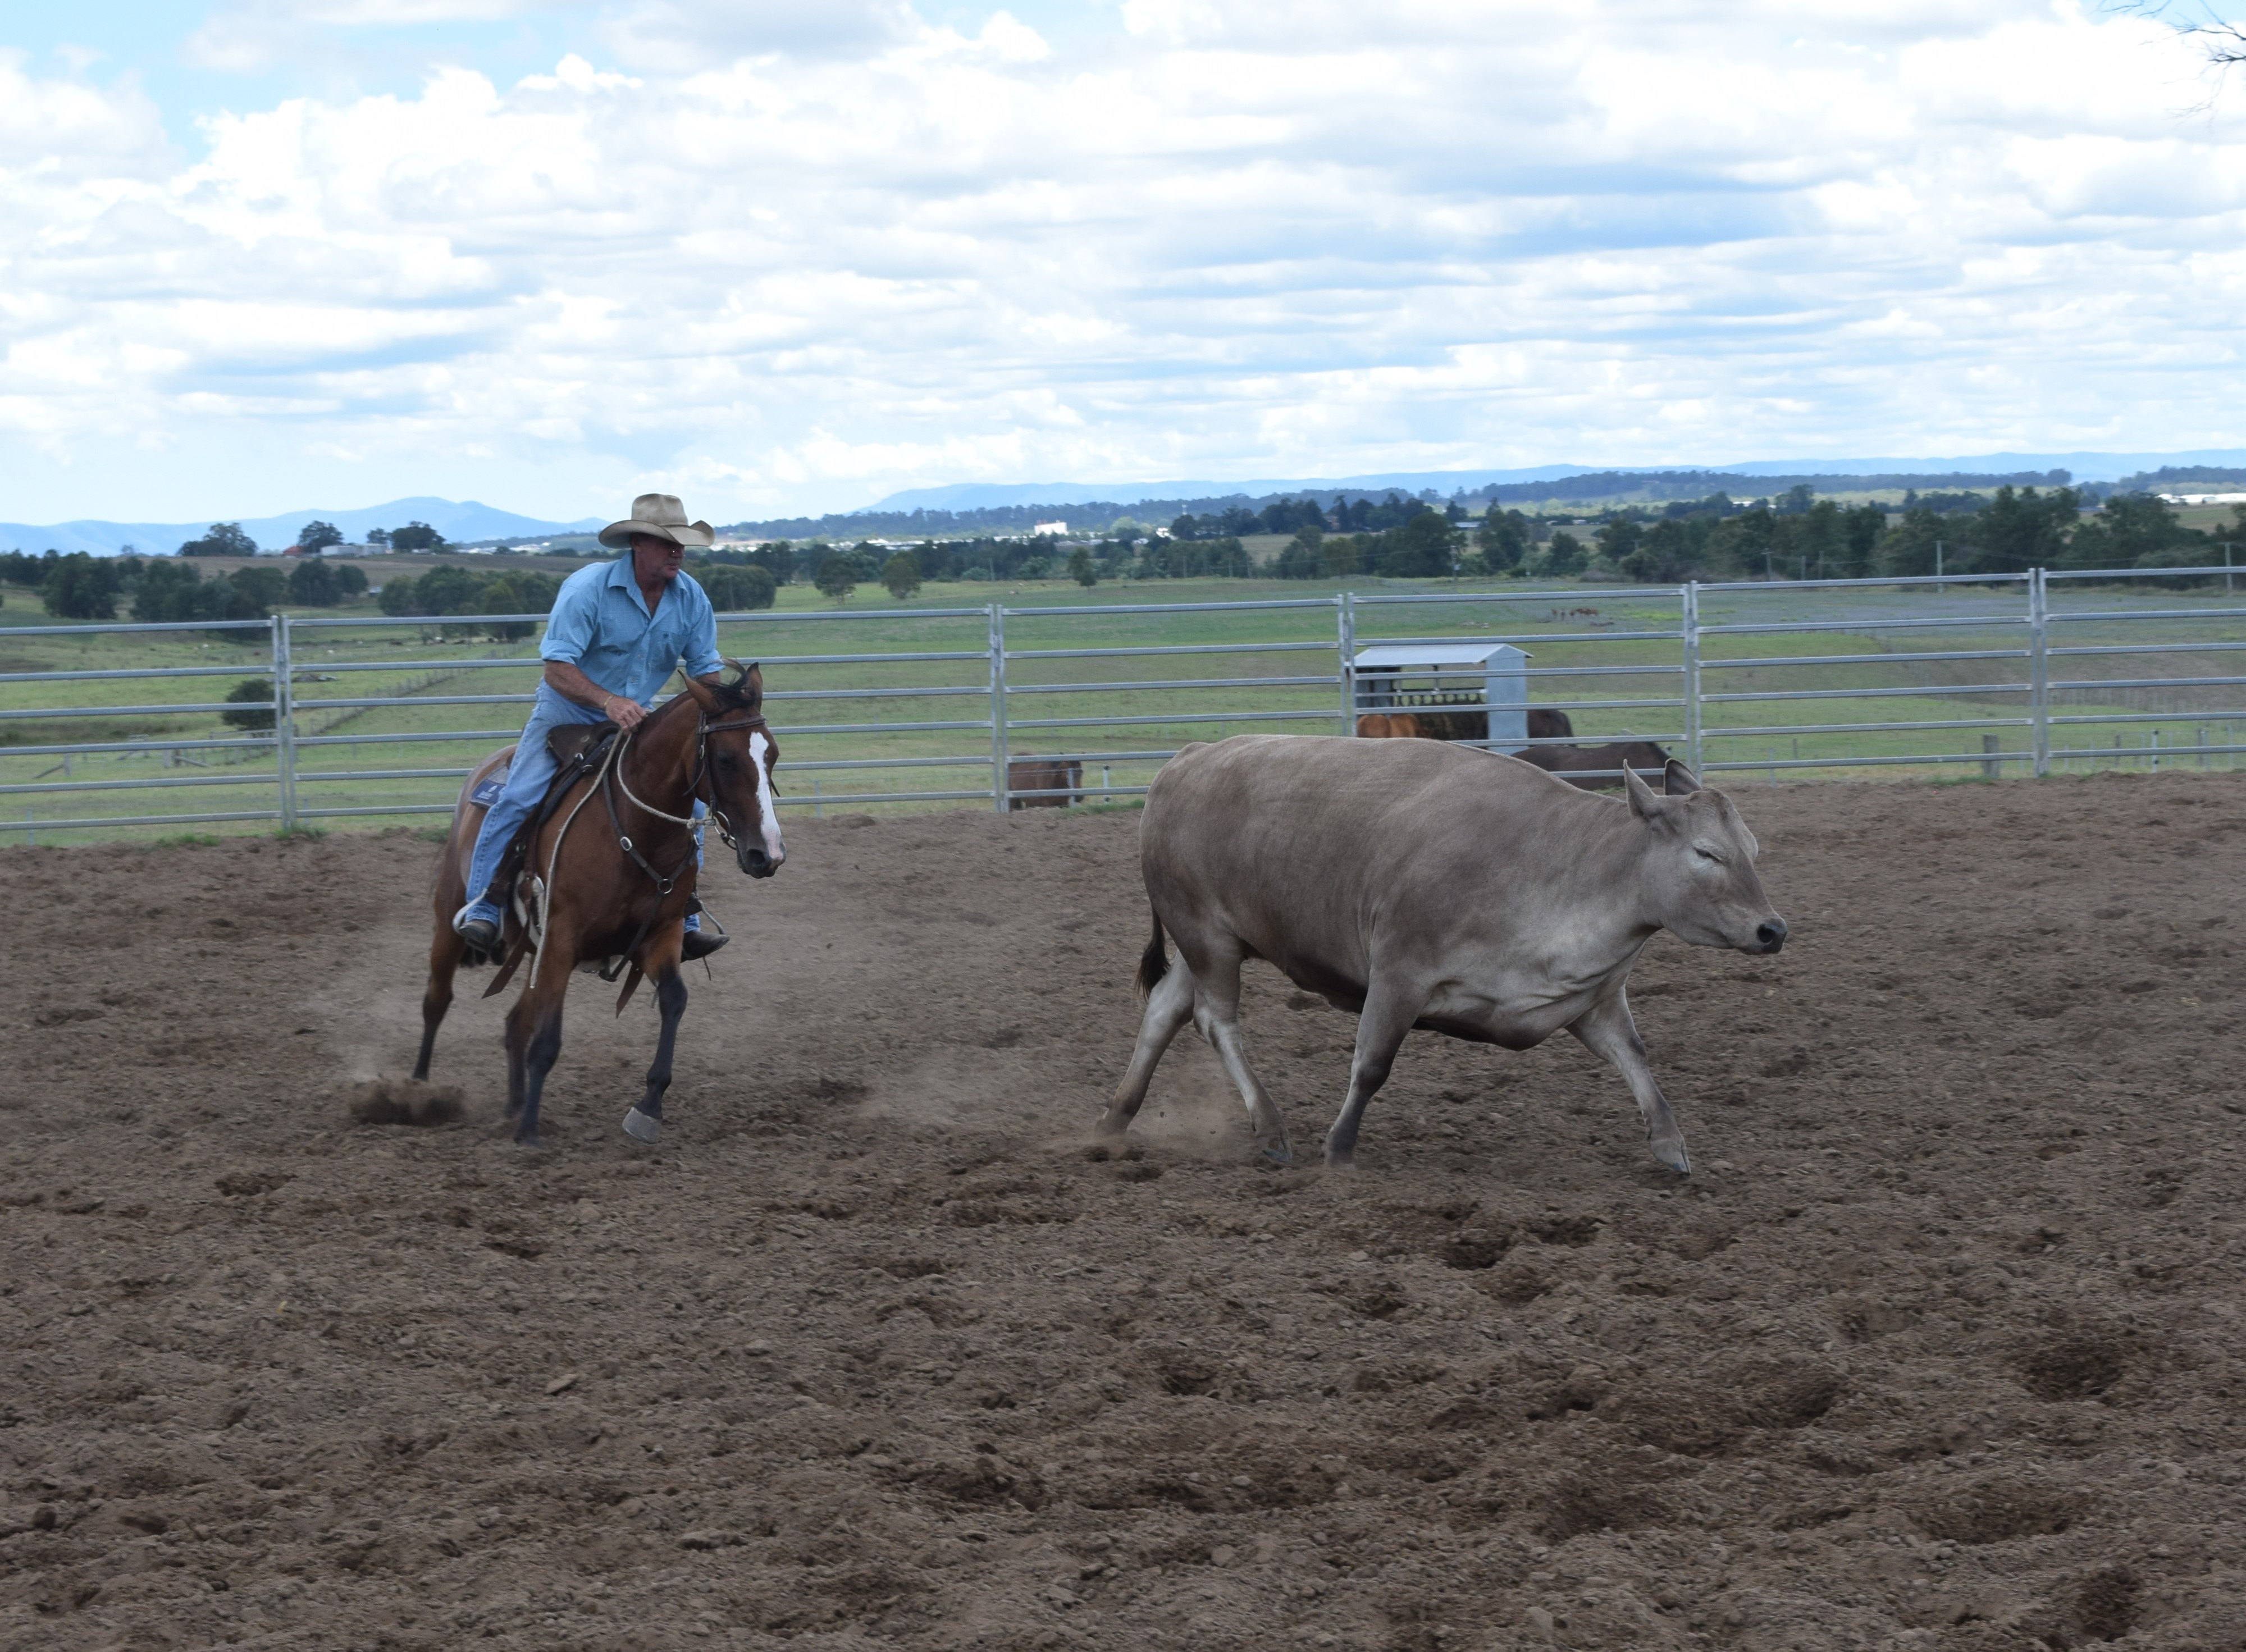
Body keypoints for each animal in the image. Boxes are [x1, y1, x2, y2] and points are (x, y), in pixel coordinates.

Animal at [413, 661, 785, 1147]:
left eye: (772, 755)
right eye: (725, 758)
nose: (768, 854)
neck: (634, 826)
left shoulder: (661, 933)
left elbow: (674, 999)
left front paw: (648, 1107)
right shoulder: (562, 938)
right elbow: (548, 1041)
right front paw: (529, 1133)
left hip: (534, 948)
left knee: (516, 1024)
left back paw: (514, 1104)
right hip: (451, 920)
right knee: (437, 1000)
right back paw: (418, 1090)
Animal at [1007, 753, 1083, 810]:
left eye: (1081, 772)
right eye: (1067, 773)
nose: (1079, 797)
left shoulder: (1064, 804)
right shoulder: (1046, 805)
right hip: (1013, 801)